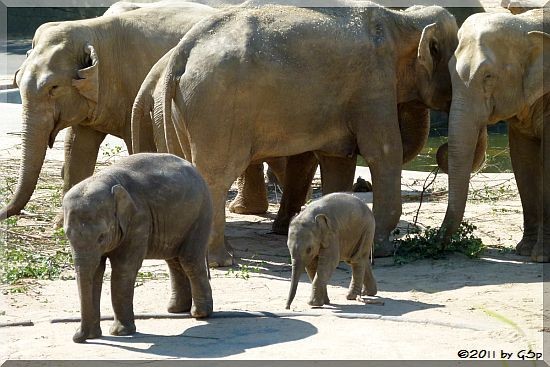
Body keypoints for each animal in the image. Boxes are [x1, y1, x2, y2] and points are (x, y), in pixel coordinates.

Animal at [0, 2, 220, 221]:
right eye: (17, 81)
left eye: (53, 87)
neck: (93, 30)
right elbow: (76, 147)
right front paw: (61, 223)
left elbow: (142, 146)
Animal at [62, 152, 213, 342]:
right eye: (67, 235)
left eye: (101, 237)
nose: (77, 337)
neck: (106, 180)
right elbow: (96, 272)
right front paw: (95, 336)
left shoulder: (138, 220)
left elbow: (123, 269)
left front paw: (120, 332)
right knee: (174, 260)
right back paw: (176, 310)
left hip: (201, 213)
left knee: (189, 259)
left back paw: (200, 314)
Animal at [158, 4, 474, 266]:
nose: (442, 148)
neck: (402, 20)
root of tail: (183, 51)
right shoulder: (374, 83)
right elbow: (384, 152)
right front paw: (382, 251)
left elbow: (337, 160)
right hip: (219, 107)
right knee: (217, 175)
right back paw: (221, 261)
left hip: (187, 110)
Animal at [440, 8, 550, 262]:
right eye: (449, 71)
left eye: (488, 76)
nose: (435, 243)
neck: (527, 23)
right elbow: (523, 161)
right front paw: (524, 250)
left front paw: (541, 257)